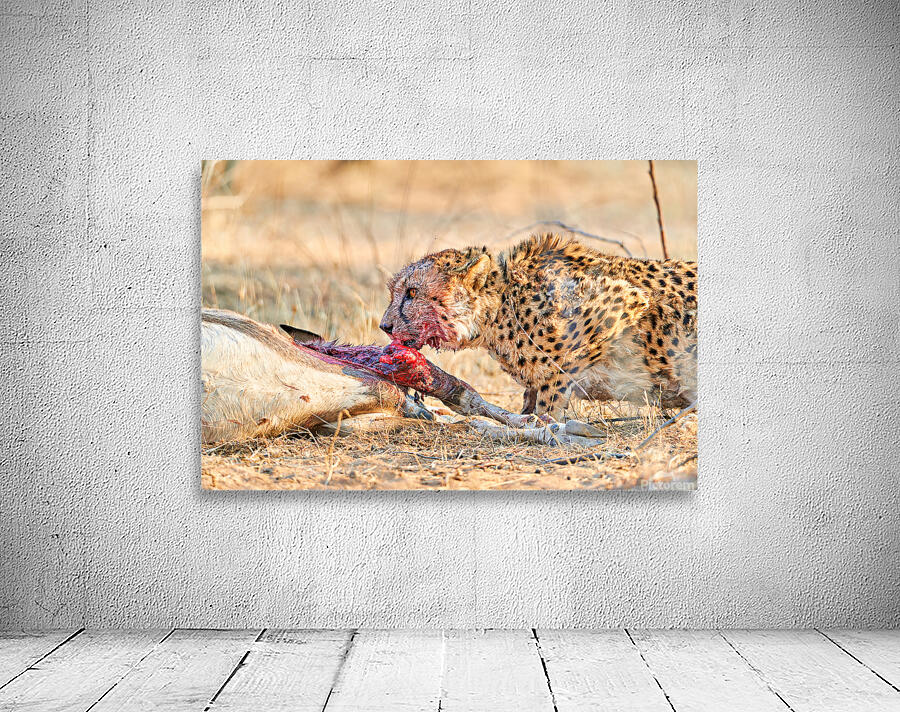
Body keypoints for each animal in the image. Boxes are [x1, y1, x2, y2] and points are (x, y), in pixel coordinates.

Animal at [379, 233, 697, 420]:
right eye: (394, 291)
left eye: (412, 293)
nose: (384, 326)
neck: (502, 307)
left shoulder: (625, 299)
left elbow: (554, 382)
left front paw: (546, 426)